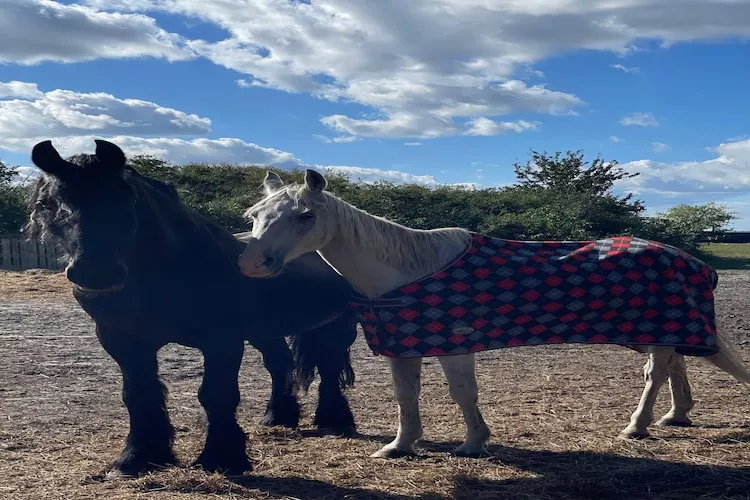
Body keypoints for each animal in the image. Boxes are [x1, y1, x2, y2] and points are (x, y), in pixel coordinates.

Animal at [26, 140, 362, 476]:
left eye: (125, 197)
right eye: (46, 203)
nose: (95, 272)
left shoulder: (223, 340)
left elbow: (216, 395)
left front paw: (222, 458)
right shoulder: (123, 341)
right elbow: (138, 394)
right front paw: (137, 457)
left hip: (338, 324)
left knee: (329, 367)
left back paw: (334, 420)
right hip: (267, 331)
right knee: (280, 365)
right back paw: (278, 417)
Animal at [238, 168, 750, 458]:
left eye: (305, 215)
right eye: (254, 216)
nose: (253, 263)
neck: (408, 269)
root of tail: (691, 259)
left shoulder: (454, 345)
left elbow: (463, 394)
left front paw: (472, 444)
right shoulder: (404, 347)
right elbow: (406, 397)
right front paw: (400, 446)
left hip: (655, 329)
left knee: (657, 372)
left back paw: (637, 427)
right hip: (651, 329)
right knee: (675, 364)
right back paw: (675, 417)